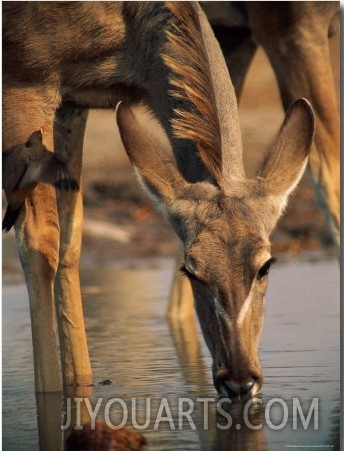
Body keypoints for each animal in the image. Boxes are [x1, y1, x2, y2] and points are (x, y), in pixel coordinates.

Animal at [2, 1, 314, 398]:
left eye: (265, 266)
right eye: (190, 271)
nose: (240, 381)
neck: (130, 20)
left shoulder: (73, 104)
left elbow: (70, 243)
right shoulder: (26, 86)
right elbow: (40, 248)